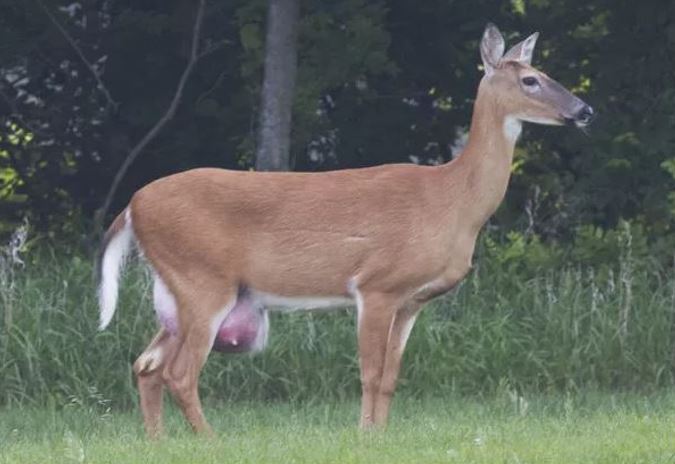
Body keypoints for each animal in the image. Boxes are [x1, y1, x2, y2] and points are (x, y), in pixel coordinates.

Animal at [97, 24, 596, 438]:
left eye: (544, 72)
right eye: (530, 80)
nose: (585, 109)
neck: (452, 201)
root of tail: (132, 206)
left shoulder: (412, 301)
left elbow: (391, 376)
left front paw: (380, 434)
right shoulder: (376, 284)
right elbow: (369, 372)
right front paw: (364, 435)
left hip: (180, 291)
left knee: (146, 364)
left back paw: (158, 440)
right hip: (203, 280)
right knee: (179, 372)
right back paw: (211, 440)